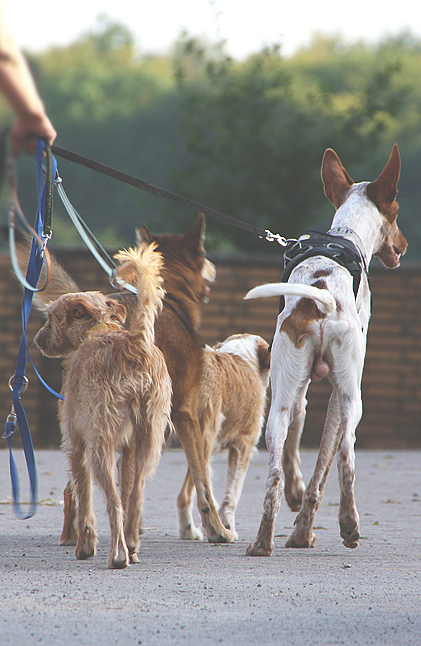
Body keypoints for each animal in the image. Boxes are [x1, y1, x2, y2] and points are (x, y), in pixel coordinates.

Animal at [35, 243, 172, 568]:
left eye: (52, 317)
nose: (37, 340)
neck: (98, 329)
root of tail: (134, 345)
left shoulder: (76, 444)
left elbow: (82, 496)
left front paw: (85, 545)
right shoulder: (129, 448)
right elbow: (124, 491)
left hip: (101, 445)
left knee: (112, 500)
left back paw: (117, 555)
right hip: (147, 442)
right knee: (133, 497)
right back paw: (131, 545)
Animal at [177, 333, 270, 541]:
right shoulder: (244, 444)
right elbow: (233, 492)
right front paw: (227, 525)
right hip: (204, 434)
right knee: (186, 495)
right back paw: (206, 532)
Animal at [243, 145, 407, 556]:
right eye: (396, 212)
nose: (404, 246)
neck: (345, 236)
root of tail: (317, 298)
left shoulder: (302, 395)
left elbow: (301, 467)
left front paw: (299, 530)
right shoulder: (338, 395)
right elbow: (323, 470)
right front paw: (304, 534)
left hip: (280, 402)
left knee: (274, 475)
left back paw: (262, 542)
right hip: (352, 398)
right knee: (347, 457)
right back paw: (349, 525)